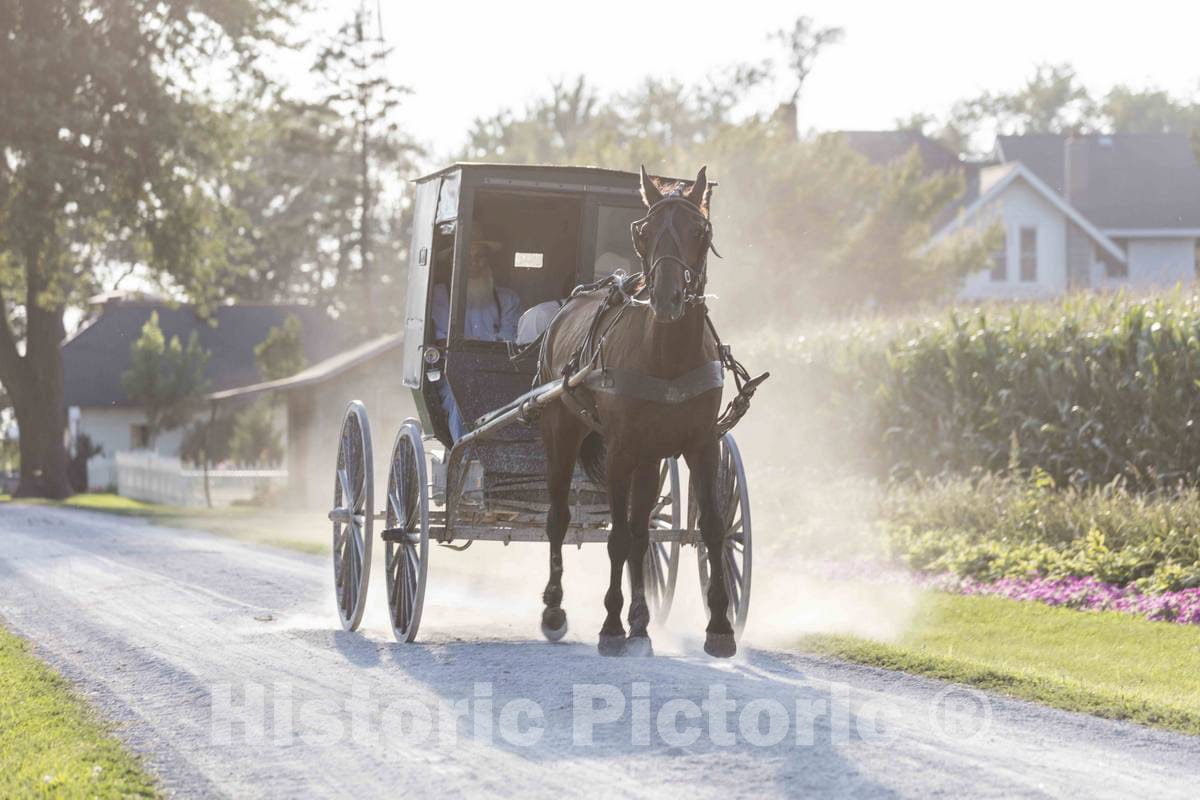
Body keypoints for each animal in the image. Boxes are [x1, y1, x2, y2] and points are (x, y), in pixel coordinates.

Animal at [536, 165, 738, 658]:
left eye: (700, 231)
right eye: (644, 232)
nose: (667, 298)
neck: (667, 356)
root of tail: (572, 302)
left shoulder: (702, 444)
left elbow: (712, 528)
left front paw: (719, 626)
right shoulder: (621, 449)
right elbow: (617, 537)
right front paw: (610, 626)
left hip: (651, 456)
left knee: (644, 530)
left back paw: (642, 623)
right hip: (561, 430)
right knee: (559, 518)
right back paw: (555, 609)